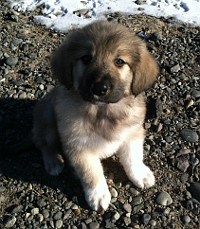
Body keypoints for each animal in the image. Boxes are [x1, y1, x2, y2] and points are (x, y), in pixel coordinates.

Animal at [32, 20, 158, 212]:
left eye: (119, 61)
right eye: (86, 58)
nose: (100, 88)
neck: (103, 112)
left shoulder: (131, 134)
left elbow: (133, 157)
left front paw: (140, 174)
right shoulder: (78, 146)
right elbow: (91, 173)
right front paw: (98, 194)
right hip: (46, 117)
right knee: (45, 144)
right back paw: (54, 162)